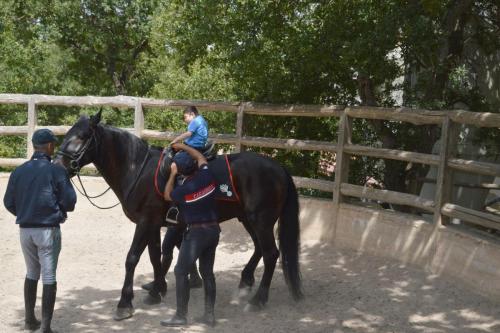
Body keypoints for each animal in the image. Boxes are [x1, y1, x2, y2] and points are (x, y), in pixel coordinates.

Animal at [53, 111, 302, 320]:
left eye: (82, 136)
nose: (58, 165)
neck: (138, 170)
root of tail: (279, 168)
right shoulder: (153, 224)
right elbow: (155, 256)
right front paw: (156, 290)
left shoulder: (145, 222)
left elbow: (132, 258)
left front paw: (124, 303)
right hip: (249, 219)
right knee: (260, 248)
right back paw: (245, 282)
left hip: (261, 220)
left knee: (271, 254)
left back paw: (258, 299)